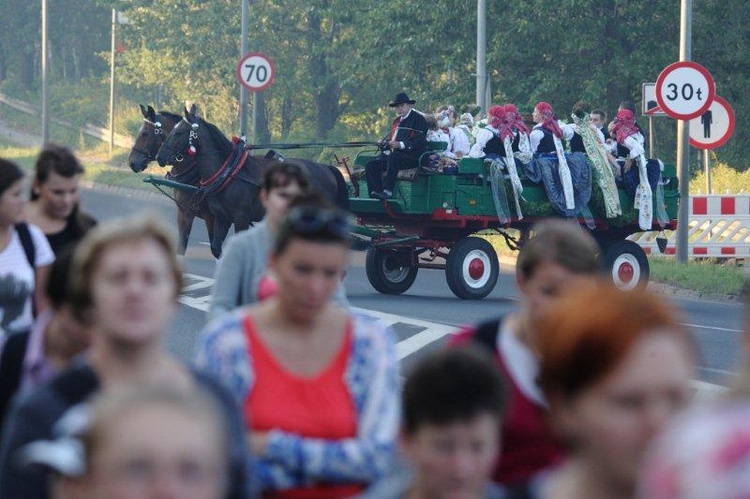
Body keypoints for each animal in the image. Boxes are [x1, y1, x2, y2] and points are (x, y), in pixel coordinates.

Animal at [157, 107, 352, 260]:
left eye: (178, 132)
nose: (160, 157)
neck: (230, 172)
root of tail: (326, 168)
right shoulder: (222, 217)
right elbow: (216, 248)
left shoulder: (241, 218)